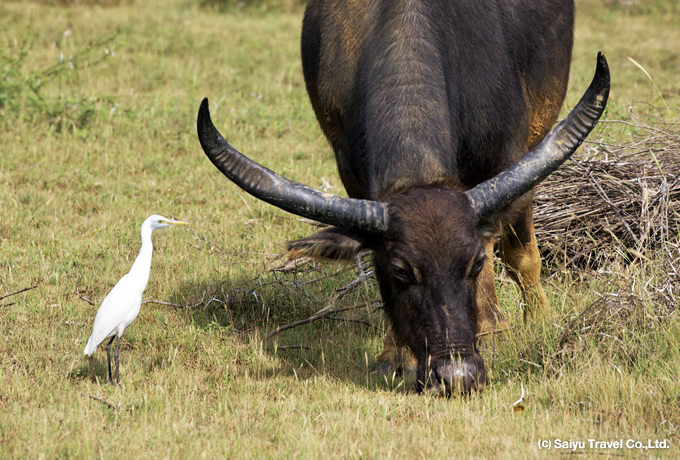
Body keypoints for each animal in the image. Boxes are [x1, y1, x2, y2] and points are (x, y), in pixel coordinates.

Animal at [197, 0, 612, 396]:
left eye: (474, 264)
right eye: (400, 270)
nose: (457, 376)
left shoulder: (509, 157)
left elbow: (517, 254)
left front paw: (512, 329)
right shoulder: (352, 174)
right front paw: (395, 356)